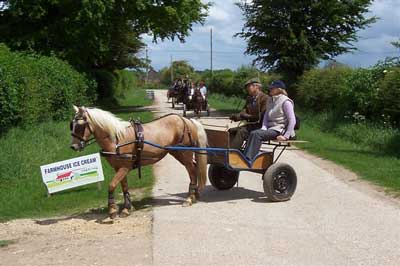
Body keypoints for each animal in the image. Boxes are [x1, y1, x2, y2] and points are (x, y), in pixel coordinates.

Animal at [70, 105, 208, 218]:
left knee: (192, 171)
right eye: (72, 125)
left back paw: (189, 198)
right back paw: (195, 195)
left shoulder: (124, 167)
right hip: (178, 153)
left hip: (185, 153)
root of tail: (187, 120)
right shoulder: (119, 168)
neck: (117, 140)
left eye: (81, 126)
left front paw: (112, 210)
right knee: (194, 167)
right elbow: (124, 187)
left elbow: (111, 185)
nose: (73, 146)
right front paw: (127, 208)